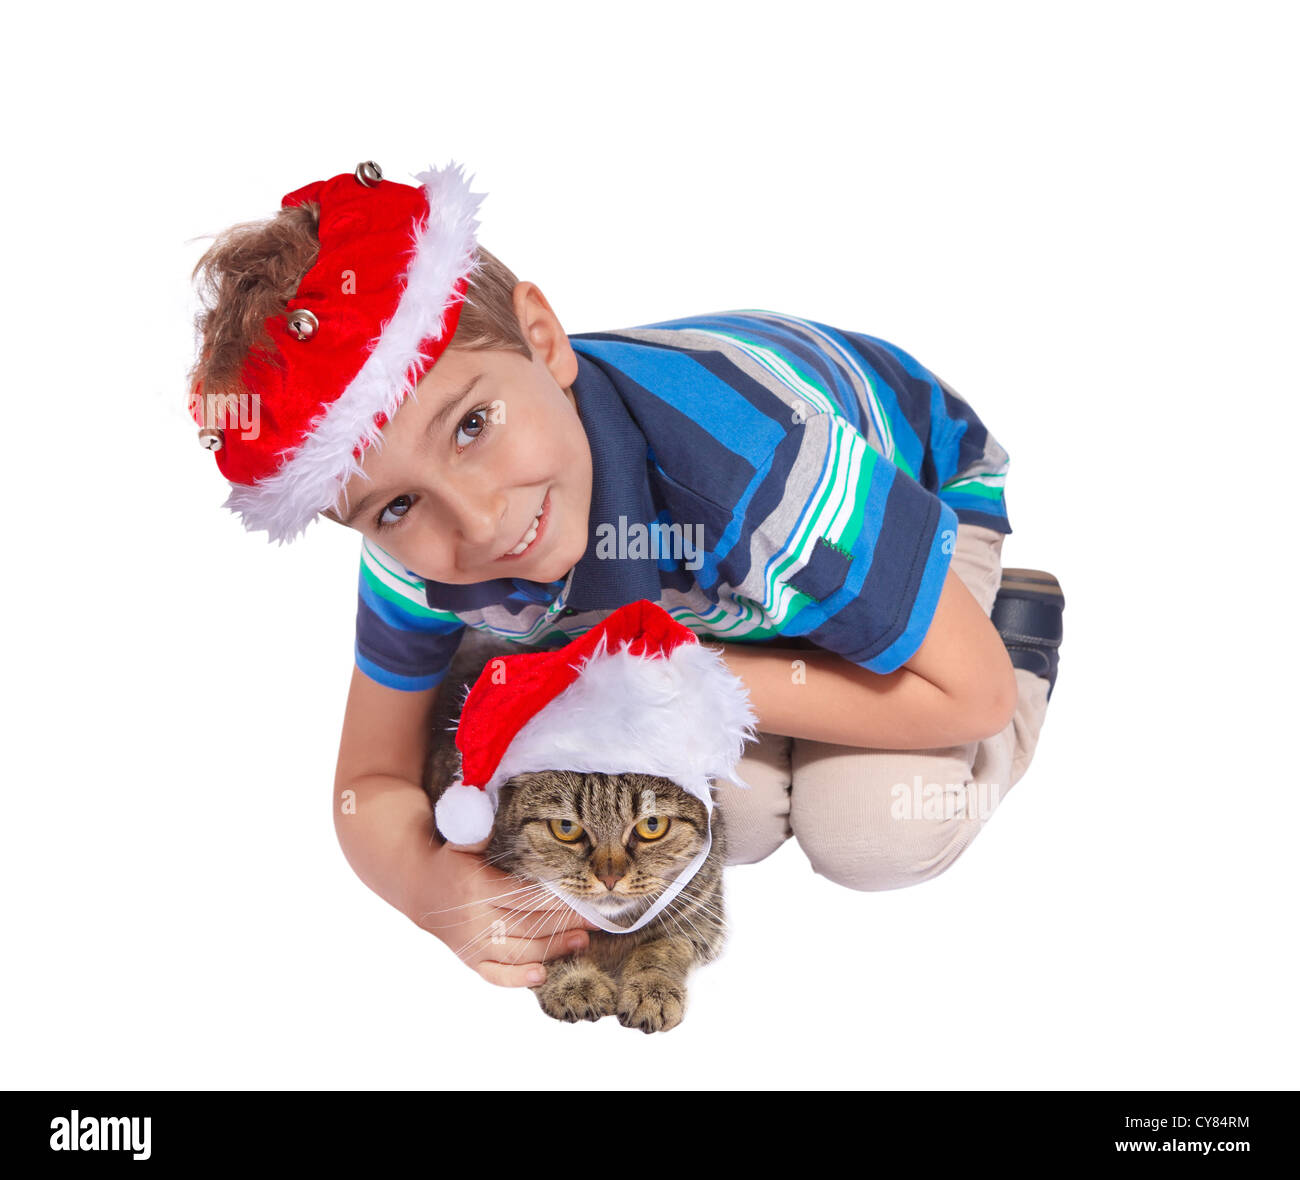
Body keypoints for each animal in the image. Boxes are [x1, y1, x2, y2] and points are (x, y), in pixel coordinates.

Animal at [426, 626, 733, 1034]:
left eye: (652, 825)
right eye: (566, 828)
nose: (610, 877)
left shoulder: (703, 916)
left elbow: (661, 948)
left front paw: (651, 990)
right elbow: (550, 945)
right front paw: (577, 982)